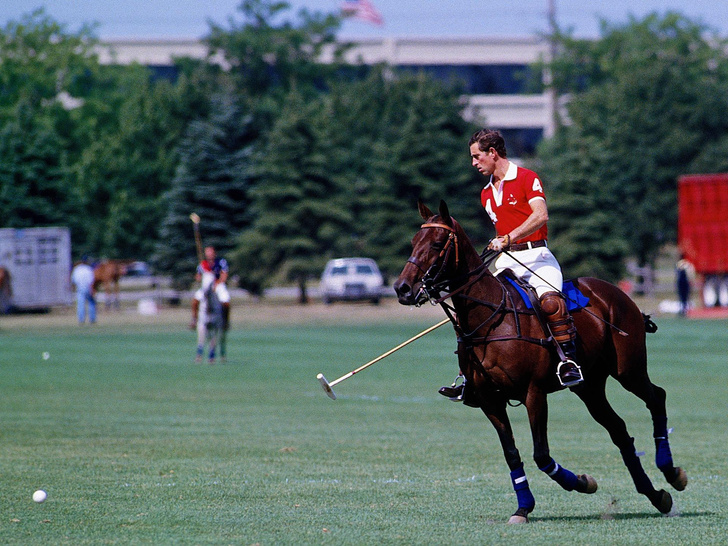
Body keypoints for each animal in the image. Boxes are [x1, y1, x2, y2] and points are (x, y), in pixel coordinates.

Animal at [396, 201, 684, 524]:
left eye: (436, 244)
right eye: (413, 242)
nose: (402, 289)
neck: (489, 319)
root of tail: (616, 293)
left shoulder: (533, 393)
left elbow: (542, 455)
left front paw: (583, 482)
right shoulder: (488, 400)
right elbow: (512, 453)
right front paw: (523, 507)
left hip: (628, 369)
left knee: (656, 397)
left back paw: (672, 472)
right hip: (589, 386)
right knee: (619, 430)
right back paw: (657, 496)